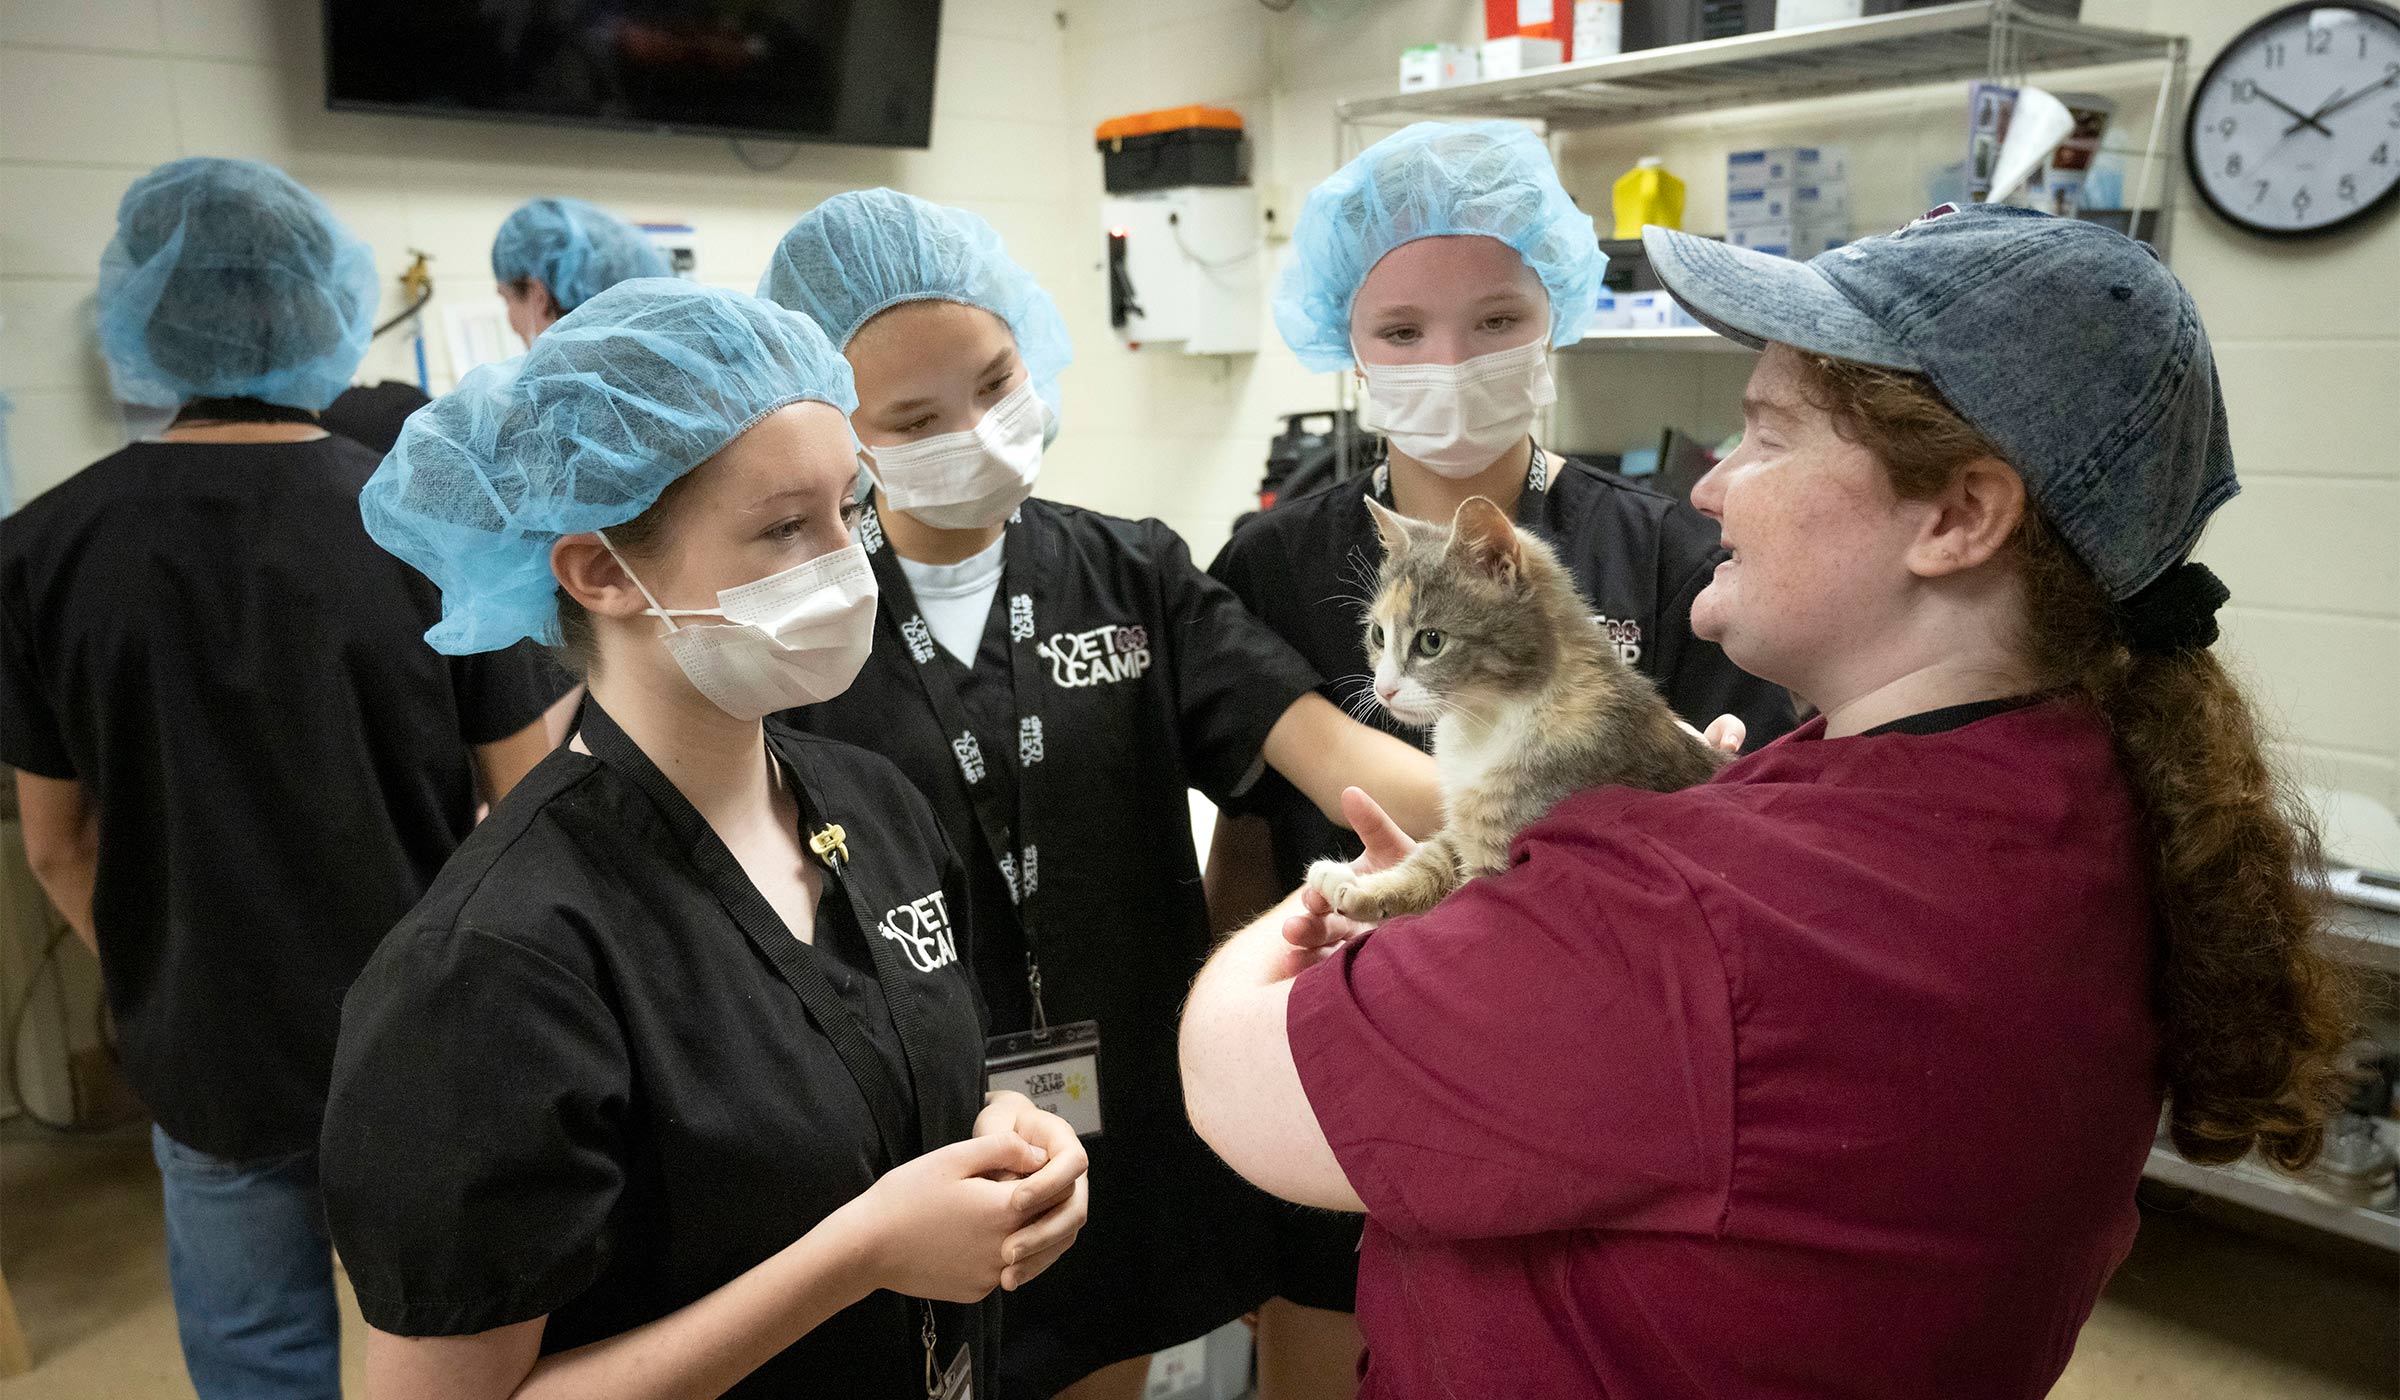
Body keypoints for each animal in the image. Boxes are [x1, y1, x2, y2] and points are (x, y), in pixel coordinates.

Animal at [1315, 499, 1728, 926]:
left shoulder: (1503, 854)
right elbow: (1436, 856)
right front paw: (1362, 887)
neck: (1486, 723)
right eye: (1378, 635)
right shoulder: (1464, 827)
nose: (1383, 689)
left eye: (1431, 641)